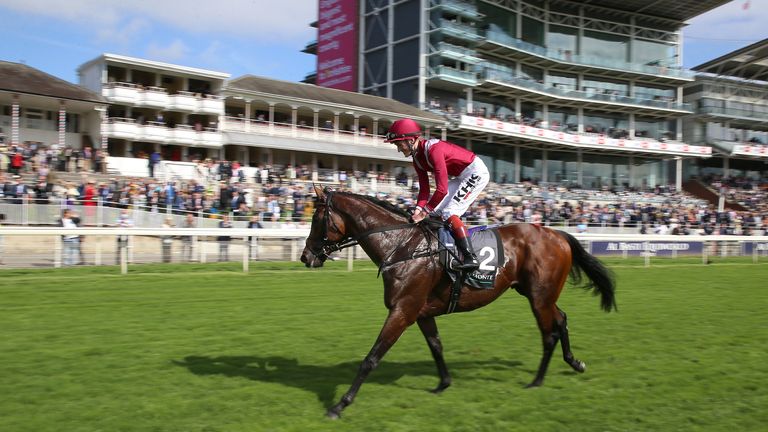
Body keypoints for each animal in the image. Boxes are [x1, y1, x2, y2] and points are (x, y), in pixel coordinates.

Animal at [302, 186, 616, 418]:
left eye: (317, 220)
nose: (306, 257)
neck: (401, 245)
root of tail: (556, 233)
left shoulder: (402, 310)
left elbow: (372, 357)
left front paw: (340, 404)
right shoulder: (421, 312)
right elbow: (436, 346)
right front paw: (443, 383)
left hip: (539, 297)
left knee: (549, 332)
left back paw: (537, 380)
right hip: (537, 294)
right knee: (561, 319)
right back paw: (574, 362)